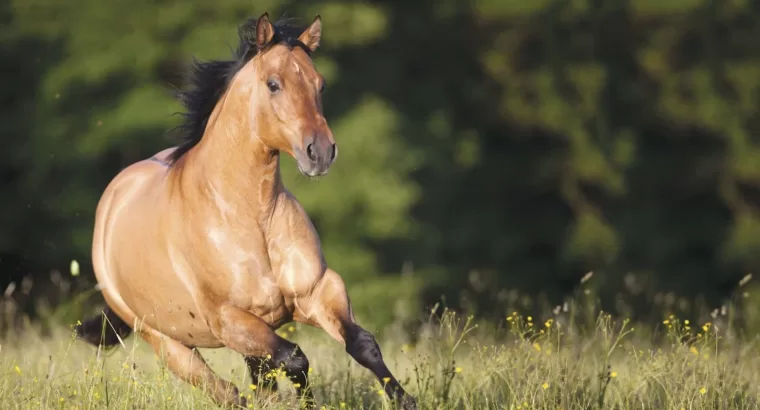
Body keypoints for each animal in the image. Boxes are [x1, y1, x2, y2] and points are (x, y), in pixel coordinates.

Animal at [75, 12, 418, 410]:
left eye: (320, 84)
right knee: (227, 391)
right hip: (169, 344)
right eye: (273, 84)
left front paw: (407, 401)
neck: (251, 216)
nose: (320, 152)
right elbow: (295, 359)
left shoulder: (318, 290)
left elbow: (362, 344)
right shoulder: (229, 320)